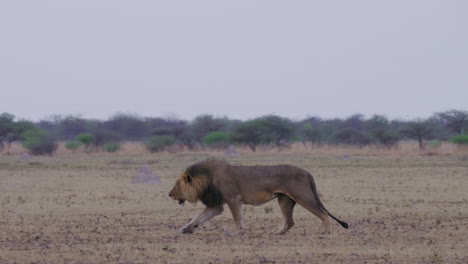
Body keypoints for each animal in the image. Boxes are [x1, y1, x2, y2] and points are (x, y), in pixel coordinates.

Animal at [168, 158, 348, 234]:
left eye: (176, 185)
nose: (169, 194)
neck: (208, 178)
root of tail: (307, 172)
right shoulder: (216, 205)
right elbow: (199, 218)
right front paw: (186, 229)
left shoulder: (233, 199)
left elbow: (237, 218)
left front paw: (236, 232)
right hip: (285, 199)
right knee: (289, 221)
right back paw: (277, 233)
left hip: (303, 196)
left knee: (323, 213)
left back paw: (326, 233)